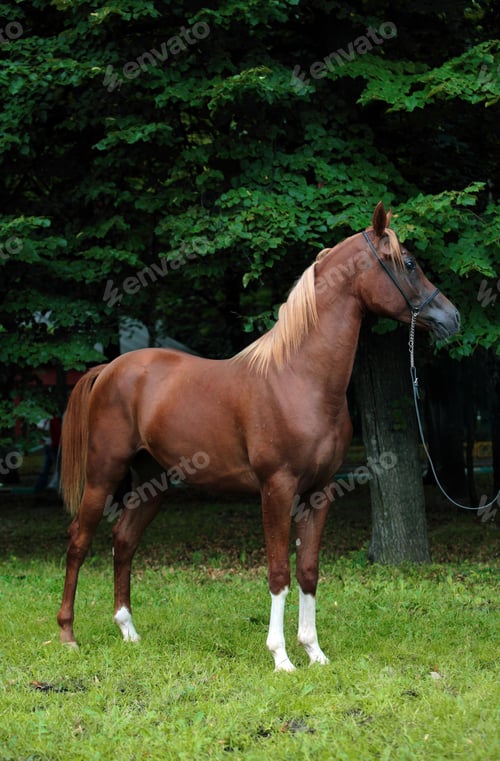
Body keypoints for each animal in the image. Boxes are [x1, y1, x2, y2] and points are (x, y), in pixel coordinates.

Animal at [57, 202, 460, 671]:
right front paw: (281, 656)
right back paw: (67, 635)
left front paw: (314, 652)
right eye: (408, 263)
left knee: (124, 541)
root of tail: (111, 369)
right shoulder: (277, 488)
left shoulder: (319, 491)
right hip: (103, 475)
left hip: (152, 481)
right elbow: (278, 572)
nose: (452, 317)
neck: (300, 378)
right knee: (79, 541)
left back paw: (129, 631)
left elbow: (308, 571)